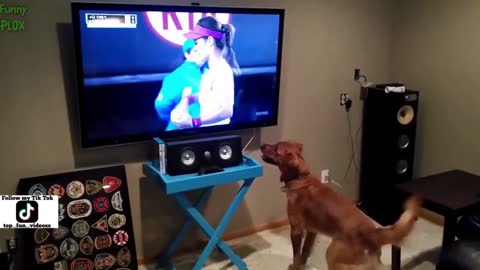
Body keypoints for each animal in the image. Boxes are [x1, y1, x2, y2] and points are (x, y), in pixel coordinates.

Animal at [260, 140, 422, 268]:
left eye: (276, 149)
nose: (261, 145)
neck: (300, 178)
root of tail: (373, 233)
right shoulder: (312, 230)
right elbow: (304, 253)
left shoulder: (296, 229)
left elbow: (296, 256)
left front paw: (294, 267)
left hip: (333, 253)